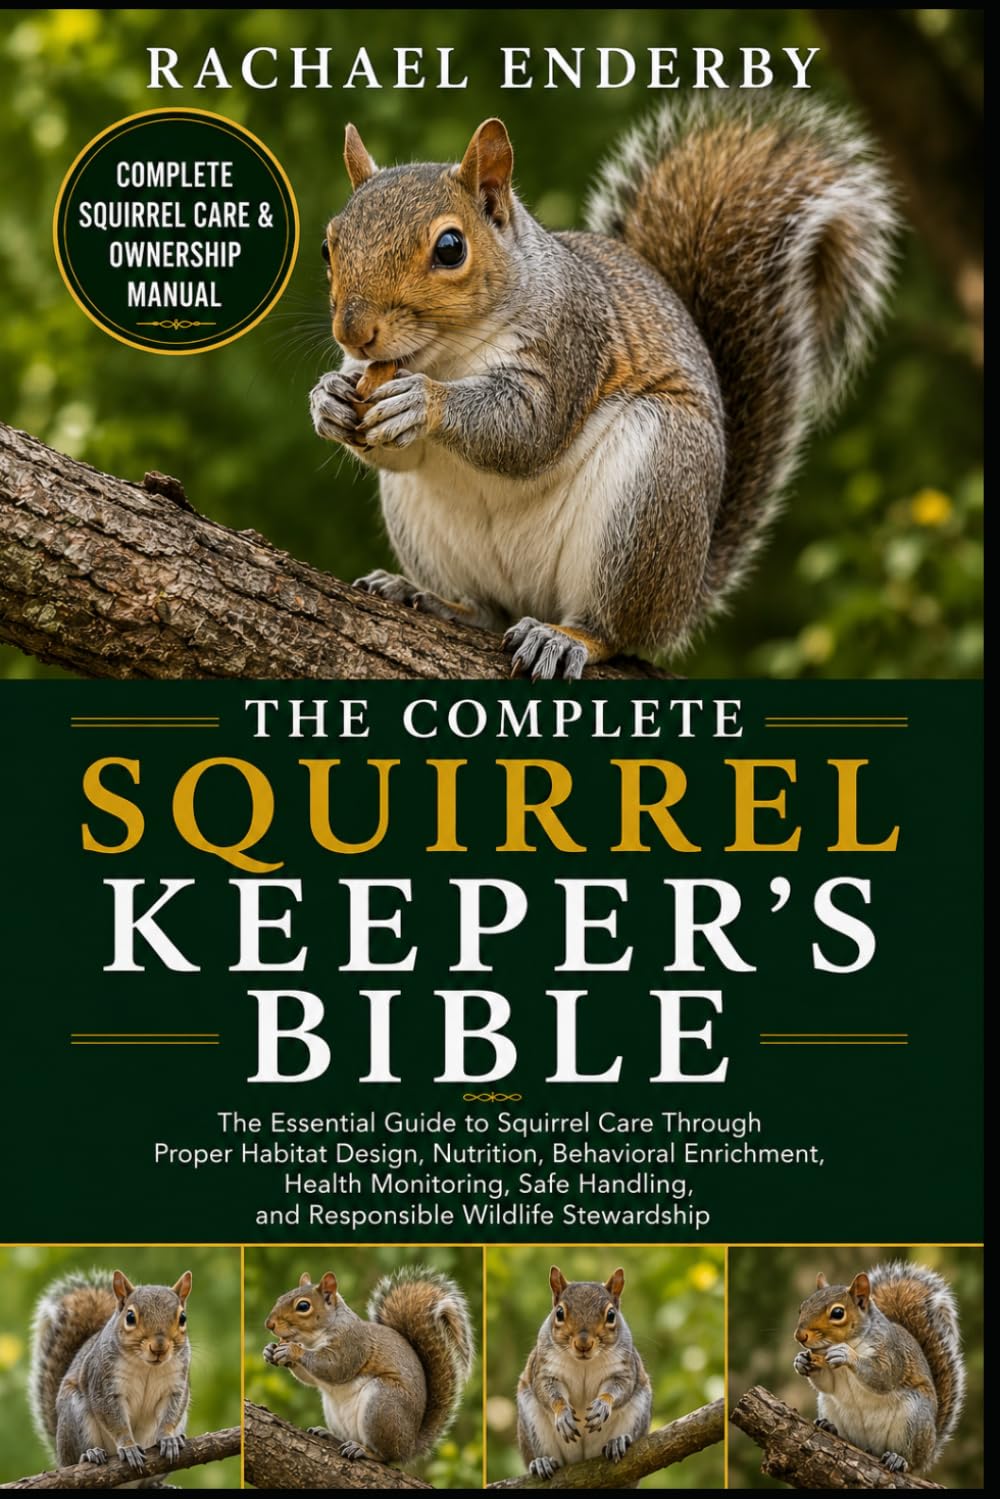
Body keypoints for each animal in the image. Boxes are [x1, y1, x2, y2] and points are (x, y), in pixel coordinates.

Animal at [29, 1269, 192, 1484]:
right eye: (130, 1317)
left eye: (183, 1318)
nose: (159, 1347)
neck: (147, 1366)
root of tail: (60, 1458)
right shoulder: (103, 1383)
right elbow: (115, 1420)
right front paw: (129, 1447)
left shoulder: (176, 1385)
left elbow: (172, 1412)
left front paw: (168, 1438)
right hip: (74, 1414)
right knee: (78, 1455)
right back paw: (90, 1454)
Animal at [263, 1266, 474, 1466]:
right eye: (280, 1298)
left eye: (303, 1306)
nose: (269, 1324)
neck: (313, 1339)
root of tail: (410, 1445)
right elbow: (310, 1377)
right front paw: (270, 1350)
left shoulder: (352, 1345)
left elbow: (334, 1368)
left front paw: (292, 1351)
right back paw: (330, 1435)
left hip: (382, 1404)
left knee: (387, 1456)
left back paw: (365, 1451)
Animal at [310, 99, 897, 679]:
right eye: (326, 246)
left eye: (451, 248)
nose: (353, 334)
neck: (447, 354)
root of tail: (686, 593)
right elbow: (395, 454)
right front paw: (328, 398)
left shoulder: (570, 342)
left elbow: (527, 431)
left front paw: (421, 401)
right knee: (485, 608)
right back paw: (429, 597)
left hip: (652, 494)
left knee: (615, 631)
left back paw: (566, 637)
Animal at [516, 1266, 652, 1481]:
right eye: (559, 1313)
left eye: (611, 1315)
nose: (583, 1344)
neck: (584, 1363)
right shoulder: (545, 1369)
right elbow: (548, 1391)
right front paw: (563, 1413)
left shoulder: (624, 1369)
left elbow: (620, 1388)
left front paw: (602, 1405)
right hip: (532, 1425)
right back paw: (541, 1462)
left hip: (638, 1411)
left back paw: (618, 1441)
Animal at [793, 1261, 965, 1475]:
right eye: (802, 1307)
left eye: (837, 1313)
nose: (800, 1336)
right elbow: (827, 1384)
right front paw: (801, 1361)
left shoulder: (892, 1353)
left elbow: (883, 1377)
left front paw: (847, 1355)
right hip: (828, 1404)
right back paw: (829, 1426)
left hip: (914, 1418)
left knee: (910, 1460)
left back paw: (899, 1459)